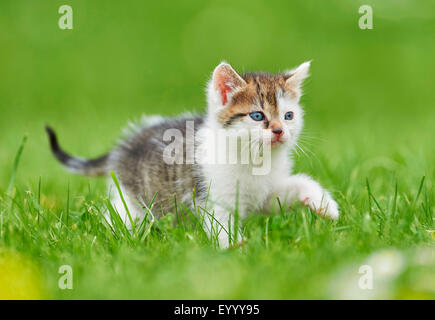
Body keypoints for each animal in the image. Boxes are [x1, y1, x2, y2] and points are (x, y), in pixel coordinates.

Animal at [46, 61, 340, 249]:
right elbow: (222, 227)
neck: (255, 159)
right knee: (121, 216)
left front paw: (324, 204)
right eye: (257, 116)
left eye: (289, 116)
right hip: (132, 198)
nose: (279, 131)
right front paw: (236, 250)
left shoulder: (265, 195)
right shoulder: (212, 199)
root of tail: (125, 144)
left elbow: (292, 186)